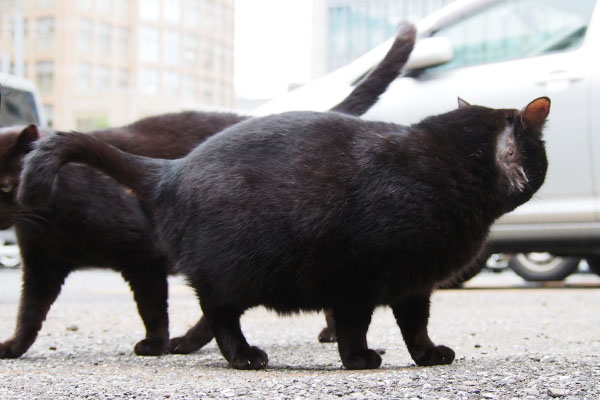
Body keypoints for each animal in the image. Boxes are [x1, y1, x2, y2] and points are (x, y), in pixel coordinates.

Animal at [0, 23, 418, 358]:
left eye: (5, 184)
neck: (51, 217)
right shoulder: (41, 266)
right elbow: (28, 313)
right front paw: (14, 347)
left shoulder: (142, 256)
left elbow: (152, 307)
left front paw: (155, 344)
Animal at [17, 96, 552, 368]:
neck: (440, 167)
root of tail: (171, 169)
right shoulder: (356, 277)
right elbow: (354, 323)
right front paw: (359, 359)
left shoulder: (414, 283)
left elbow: (414, 324)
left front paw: (426, 355)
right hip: (236, 271)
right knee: (219, 314)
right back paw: (243, 356)